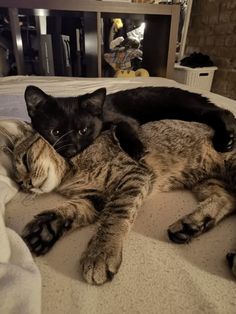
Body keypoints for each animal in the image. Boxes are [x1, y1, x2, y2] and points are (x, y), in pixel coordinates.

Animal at [5, 118, 236, 284]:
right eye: (19, 184)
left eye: (25, 159)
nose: (27, 184)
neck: (71, 175)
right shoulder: (94, 198)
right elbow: (71, 211)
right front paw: (44, 229)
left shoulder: (132, 175)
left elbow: (115, 216)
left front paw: (101, 252)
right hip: (206, 182)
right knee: (227, 199)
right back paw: (191, 225)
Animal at [24, 85, 236, 159]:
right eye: (56, 133)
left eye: (83, 131)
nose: (70, 150)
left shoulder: (124, 119)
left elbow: (123, 128)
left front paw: (136, 149)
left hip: (184, 108)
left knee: (222, 111)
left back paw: (225, 141)